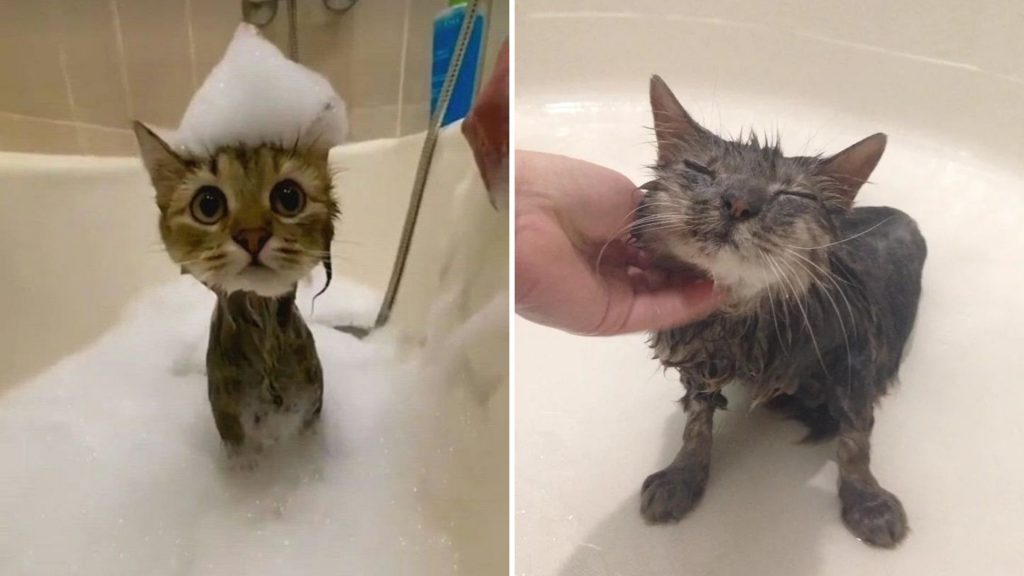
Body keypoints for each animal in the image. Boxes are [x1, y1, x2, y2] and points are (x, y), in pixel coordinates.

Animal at [634, 73, 925, 545]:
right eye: (701, 170)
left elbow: (854, 437)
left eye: (792, 194)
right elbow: (696, 421)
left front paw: (867, 502)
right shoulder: (700, 357)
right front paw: (682, 476)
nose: (737, 202)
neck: (741, 316)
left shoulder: (856, 354)